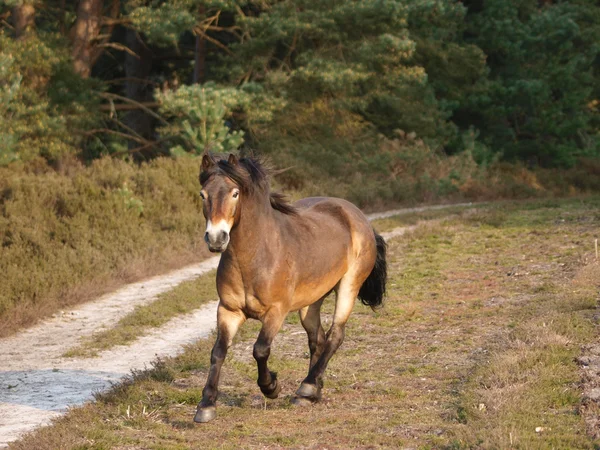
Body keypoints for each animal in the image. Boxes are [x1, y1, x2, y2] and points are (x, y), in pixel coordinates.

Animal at [195, 154, 386, 422]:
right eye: (203, 194)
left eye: (235, 193)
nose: (216, 238)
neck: (256, 256)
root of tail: (357, 215)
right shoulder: (228, 311)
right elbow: (218, 352)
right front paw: (206, 405)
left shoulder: (276, 311)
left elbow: (260, 350)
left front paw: (271, 387)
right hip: (311, 301)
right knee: (317, 339)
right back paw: (311, 392)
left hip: (349, 286)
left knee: (335, 335)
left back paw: (307, 387)